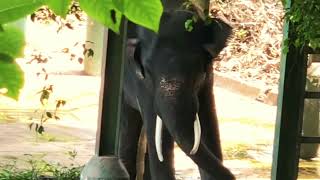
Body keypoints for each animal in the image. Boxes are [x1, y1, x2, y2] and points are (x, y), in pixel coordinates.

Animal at [119, 10, 234, 180]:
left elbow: (209, 124)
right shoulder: (142, 83)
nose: (232, 174)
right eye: (148, 70)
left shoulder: (208, 81)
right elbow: (159, 140)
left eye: (196, 68)